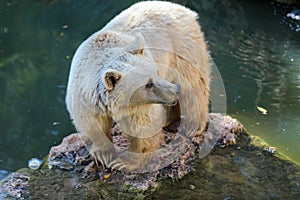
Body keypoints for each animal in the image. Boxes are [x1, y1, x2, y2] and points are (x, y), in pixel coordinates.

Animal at [65, 0, 211, 171]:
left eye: (155, 72)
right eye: (148, 84)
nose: (175, 90)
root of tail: (182, 8)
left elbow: (141, 126)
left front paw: (124, 161)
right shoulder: (84, 98)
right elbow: (93, 125)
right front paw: (103, 156)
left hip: (182, 48)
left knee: (193, 86)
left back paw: (193, 126)